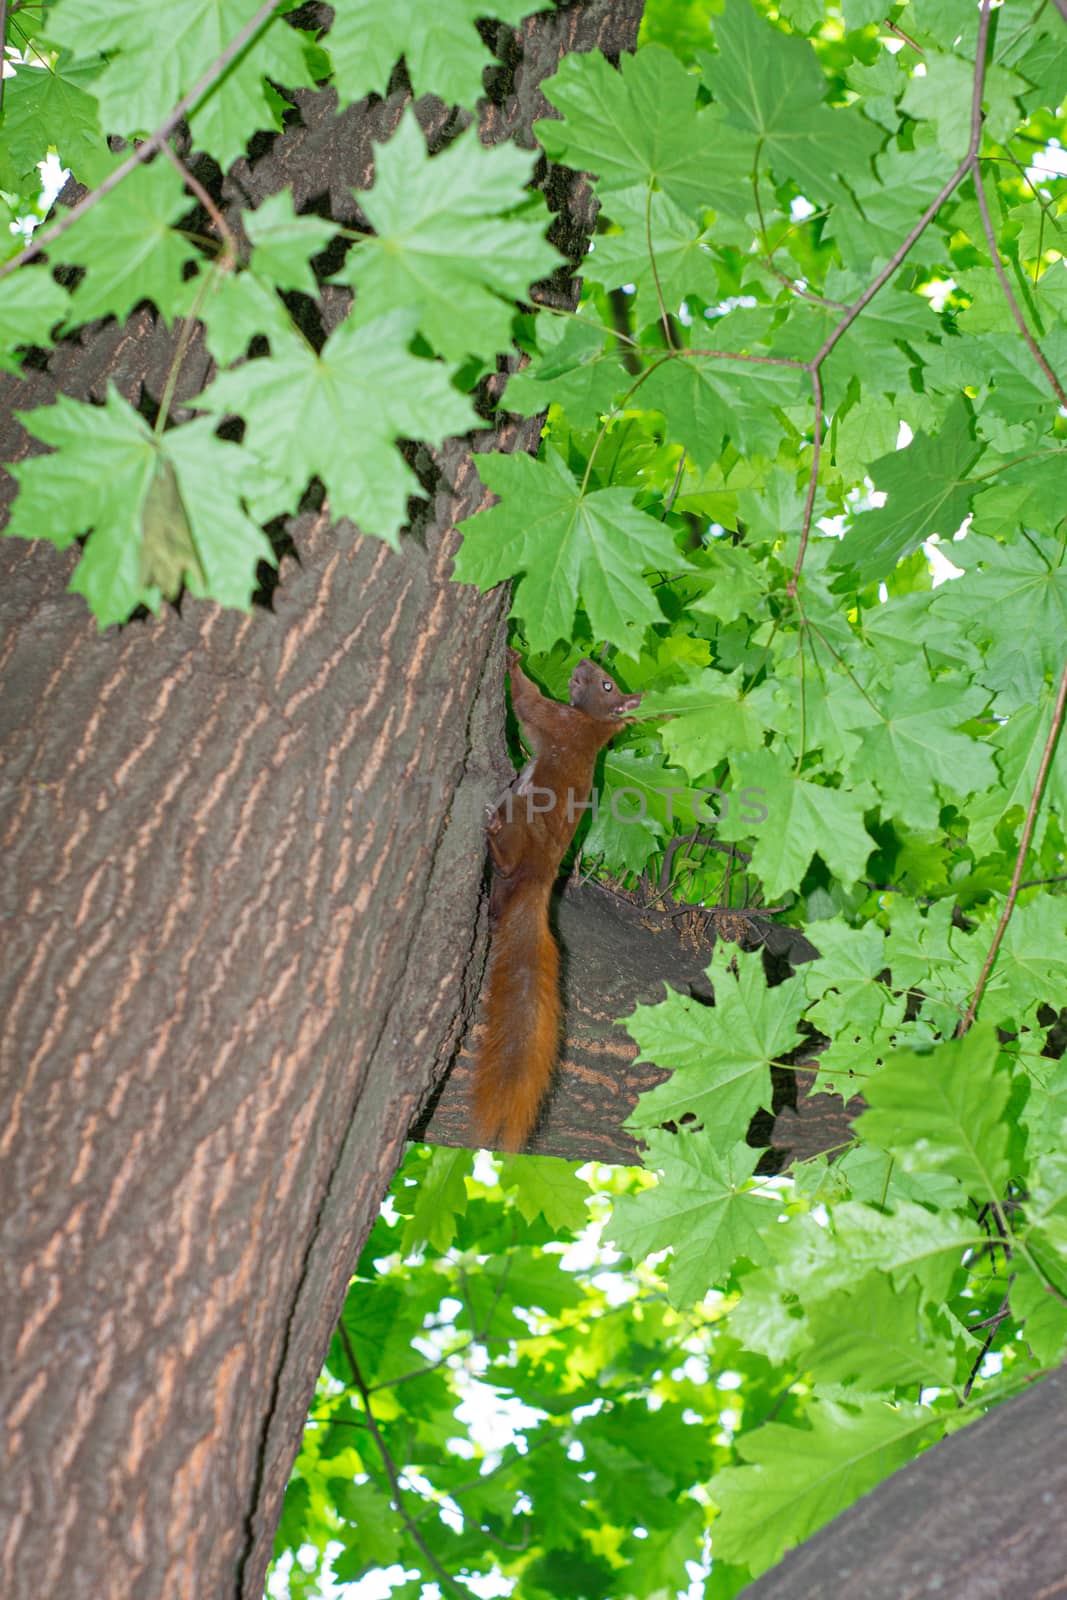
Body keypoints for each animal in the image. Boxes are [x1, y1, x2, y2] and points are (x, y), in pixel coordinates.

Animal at [473, 646, 643, 1152]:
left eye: (607, 684)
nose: (585, 661)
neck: (594, 727)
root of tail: (535, 885)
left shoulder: (557, 722)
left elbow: (527, 703)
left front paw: (512, 660)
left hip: (520, 822)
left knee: (507, 854)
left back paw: (494, 835)